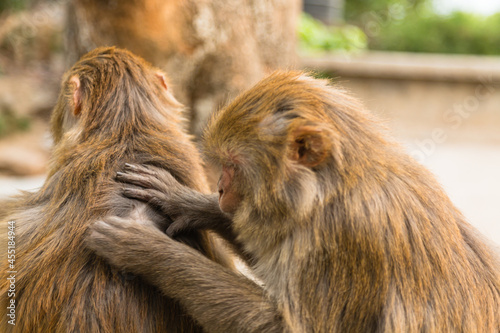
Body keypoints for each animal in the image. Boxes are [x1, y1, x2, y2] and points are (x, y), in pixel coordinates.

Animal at [87, 71, 500, 330]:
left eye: (232, 165)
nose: (219, 190)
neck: (333, 190)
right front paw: (186, 201)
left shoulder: (344, 238)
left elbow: (286, 327)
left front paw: (147, 250)